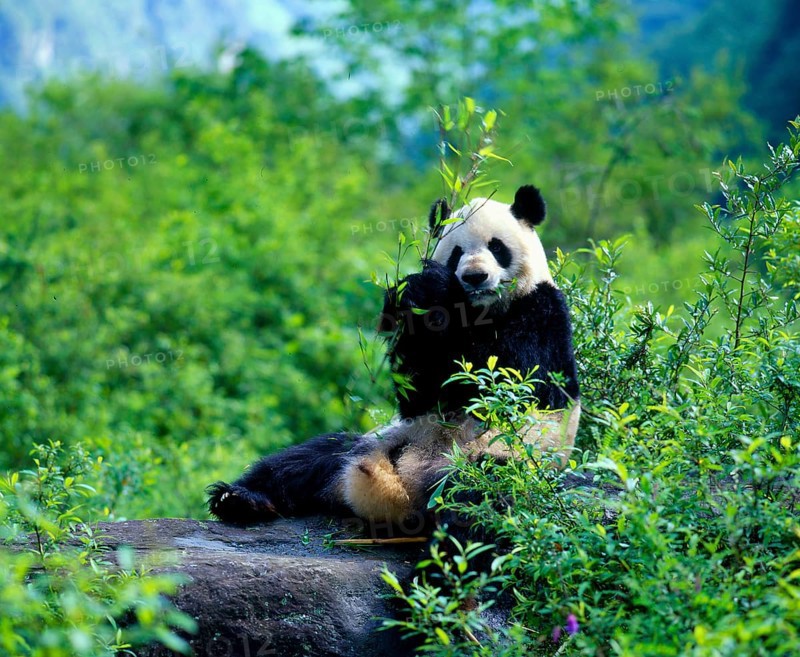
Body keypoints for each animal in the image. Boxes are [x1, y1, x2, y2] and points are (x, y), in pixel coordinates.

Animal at [207, 184, 580, 530]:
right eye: (457, 253)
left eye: (497, 247)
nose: (475, 276)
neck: (479, 310)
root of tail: (402, 490)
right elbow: (422, 390)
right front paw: (420, 294)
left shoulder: (541, 311)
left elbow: (502, 381)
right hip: (378, 440)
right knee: (305, 458)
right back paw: (239, 499)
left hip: (495, 457)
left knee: (480, 497)